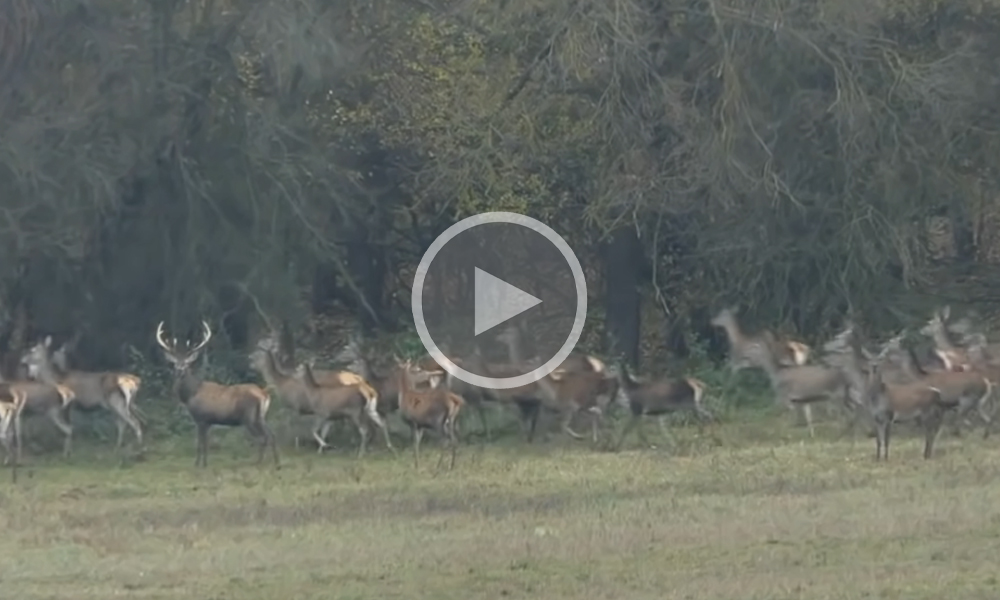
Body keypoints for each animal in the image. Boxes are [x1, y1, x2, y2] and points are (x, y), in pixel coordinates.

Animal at [156, 318, 282, 468]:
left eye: (187, 363)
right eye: (175, 363)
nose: (180, 370)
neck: (191, 394)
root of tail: (263, 393)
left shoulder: (201, 418)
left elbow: (200, 444)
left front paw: (198, 465)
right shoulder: (208, 422)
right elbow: (206, 444)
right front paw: (204, 463)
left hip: (249, 417)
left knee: (262, 438)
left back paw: (258, 463)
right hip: (261, 416)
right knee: (271, 435)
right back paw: (276, 463)